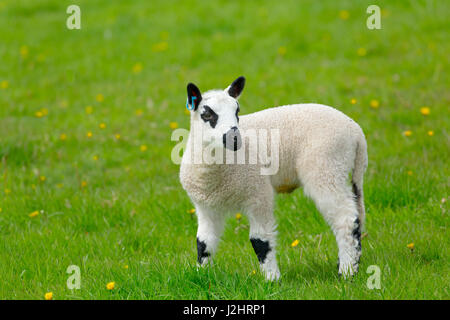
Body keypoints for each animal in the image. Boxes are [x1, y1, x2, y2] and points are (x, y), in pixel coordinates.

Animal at [178, 77, 368, 280]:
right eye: (206, 114)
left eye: (237, 111)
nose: (234, 138)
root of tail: (356, 133)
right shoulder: (205, 207)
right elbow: (203, 242)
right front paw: (202, 274)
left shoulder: (258, 194)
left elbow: (260, 240)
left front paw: (272, 279)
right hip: (339, 170)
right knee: (356, 215)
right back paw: (349, 264)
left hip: (326, 168)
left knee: (346, 220)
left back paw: (347, 272)